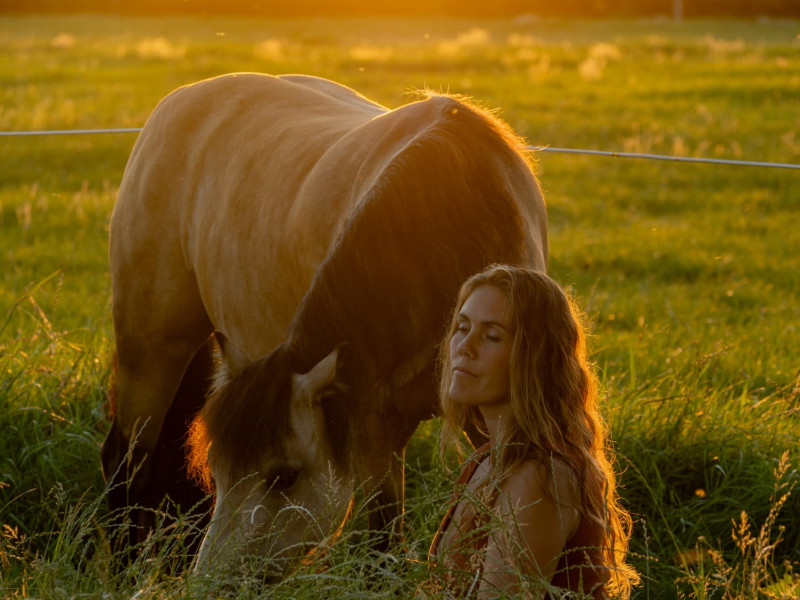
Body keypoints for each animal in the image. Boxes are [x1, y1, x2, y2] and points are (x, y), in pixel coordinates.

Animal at [100, 73, 548, 575]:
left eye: (284, 476)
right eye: (218, 470)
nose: (215, 580)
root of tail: (179, 100)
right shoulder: (371, 427)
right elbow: (382, 543)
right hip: (152, 350)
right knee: (127, 459)